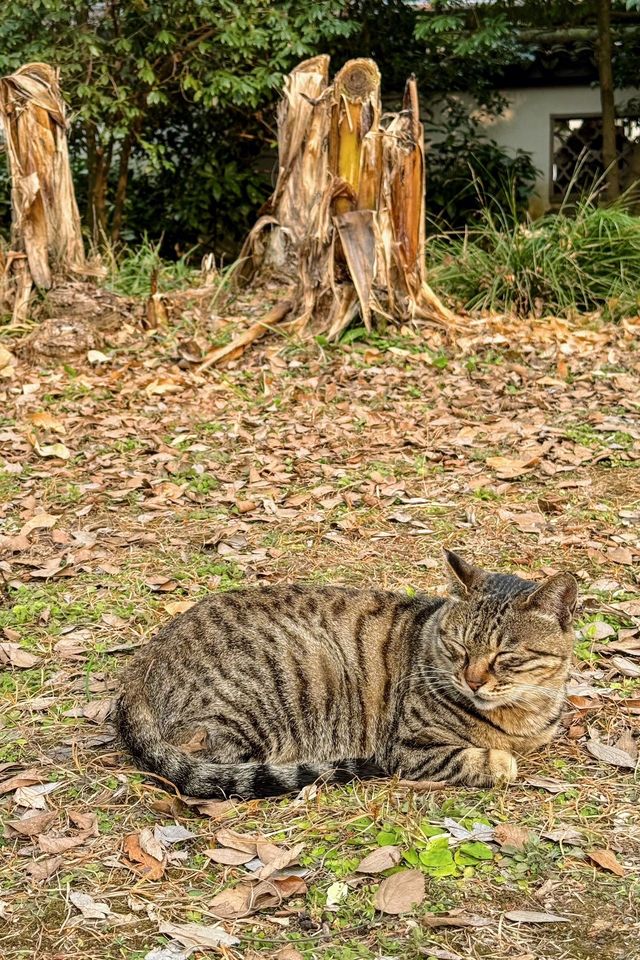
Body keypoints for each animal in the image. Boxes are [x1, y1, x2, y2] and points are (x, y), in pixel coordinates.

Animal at [112, 552, 576, 800]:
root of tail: (145, 657)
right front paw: (499, 761)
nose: (473, 681)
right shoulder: (407, 747)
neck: (522, 714)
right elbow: (485, 761)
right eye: (459, 648)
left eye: (505, 657)